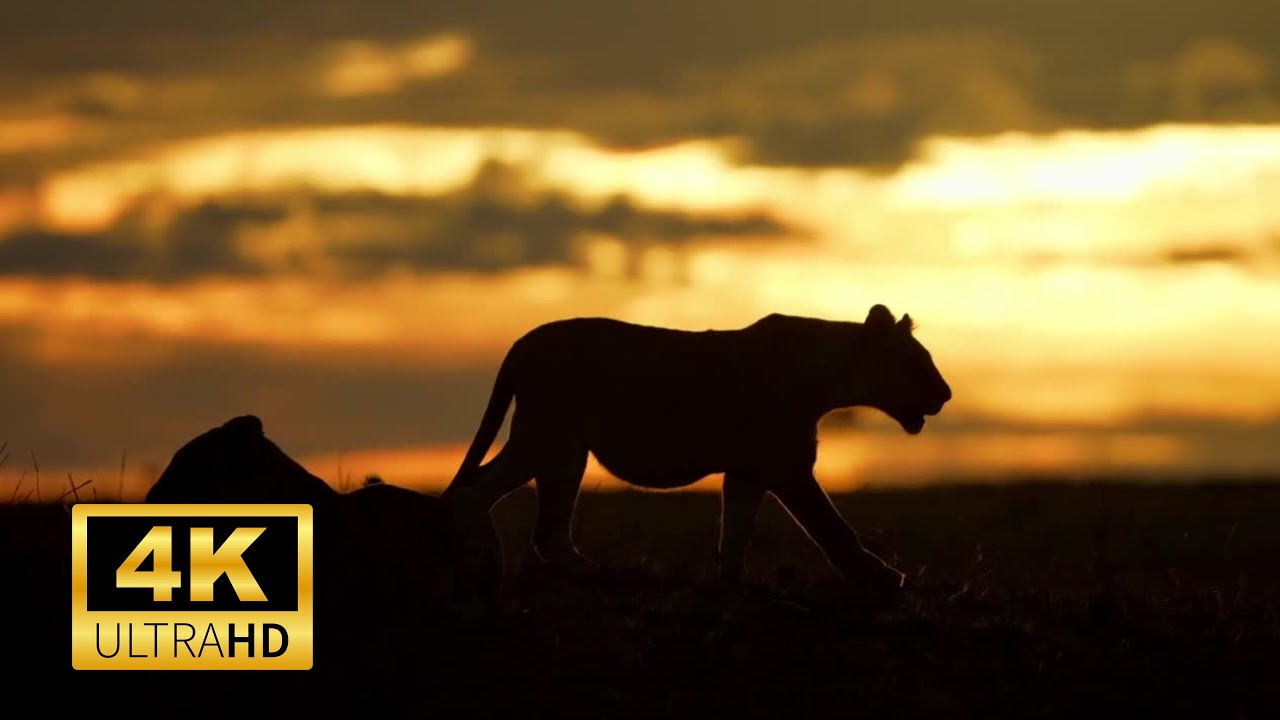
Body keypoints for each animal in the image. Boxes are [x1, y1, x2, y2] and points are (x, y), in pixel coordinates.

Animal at [443, 304, 952, 591]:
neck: (829, 375)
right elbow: (832, 527)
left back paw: (594, 575)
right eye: (918, 362)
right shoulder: (787, 466)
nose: (946, 395)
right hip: (548, 439)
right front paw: (882, 578)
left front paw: (732, 586)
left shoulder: (748, 471)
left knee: (542, 527)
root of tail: (519, 344)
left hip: (558, 450)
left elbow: (735, 532)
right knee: (477, 496)